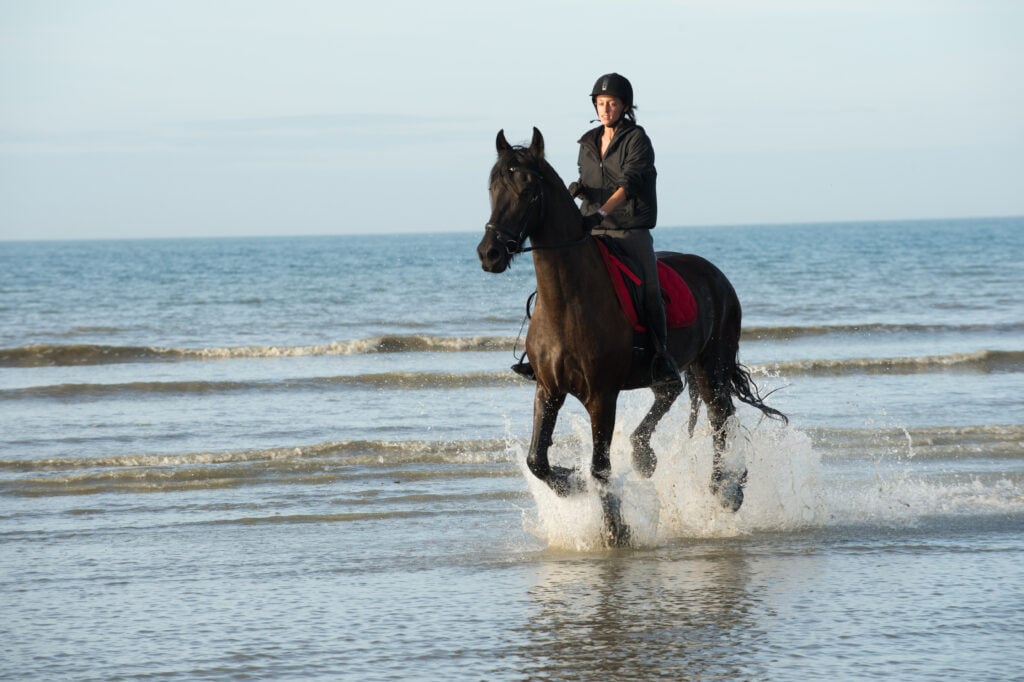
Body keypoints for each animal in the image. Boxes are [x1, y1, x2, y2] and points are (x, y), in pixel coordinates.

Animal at [477, 127, 782, 540]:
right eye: (493, 188)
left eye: (527, 190)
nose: (489, 254)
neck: (567, 300)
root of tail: (716, 275)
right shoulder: (548, 389)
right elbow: (536, 460)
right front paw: (571, 484)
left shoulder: (602, 396)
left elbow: (600, 468)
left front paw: (615, 531)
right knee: (671, 392)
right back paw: (644, 455)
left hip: (712, 365)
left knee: (721, 417)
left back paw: (726, 490)